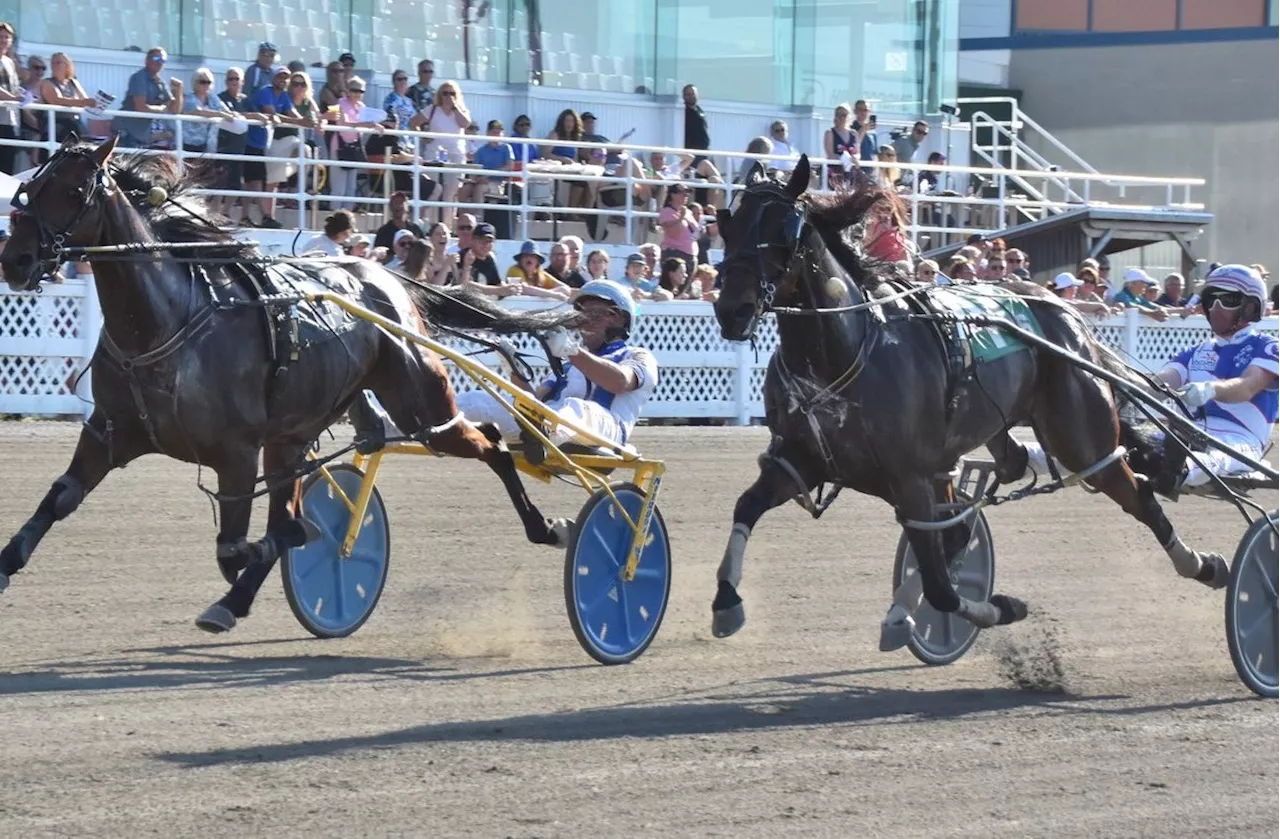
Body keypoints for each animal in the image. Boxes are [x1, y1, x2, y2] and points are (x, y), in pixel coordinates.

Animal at [0, 137, 581, 632]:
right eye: (31, 186)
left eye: (74, 190)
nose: (16, 259)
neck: (166, 321)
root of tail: (389, 280)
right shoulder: (109, 433)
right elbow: (59, 499)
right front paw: (7, 563)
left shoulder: (235, 454)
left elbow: (242, 544)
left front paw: (286, 544)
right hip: (295, 434)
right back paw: (235, 600)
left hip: (421, 407)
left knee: (492, 443)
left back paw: (546, 524)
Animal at [711, 154, 1228, 645]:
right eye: (728, 222)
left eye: (784, 229)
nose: (732, 309)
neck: (842, 353)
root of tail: (1064, 311)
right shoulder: (801, 460)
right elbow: (745, 507)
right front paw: (726, 603)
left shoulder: (911, 479)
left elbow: (941, 588)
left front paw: (1000, 608)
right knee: (1006, 471)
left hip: (1083, 440)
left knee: (1137, 493)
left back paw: (1204, 564)